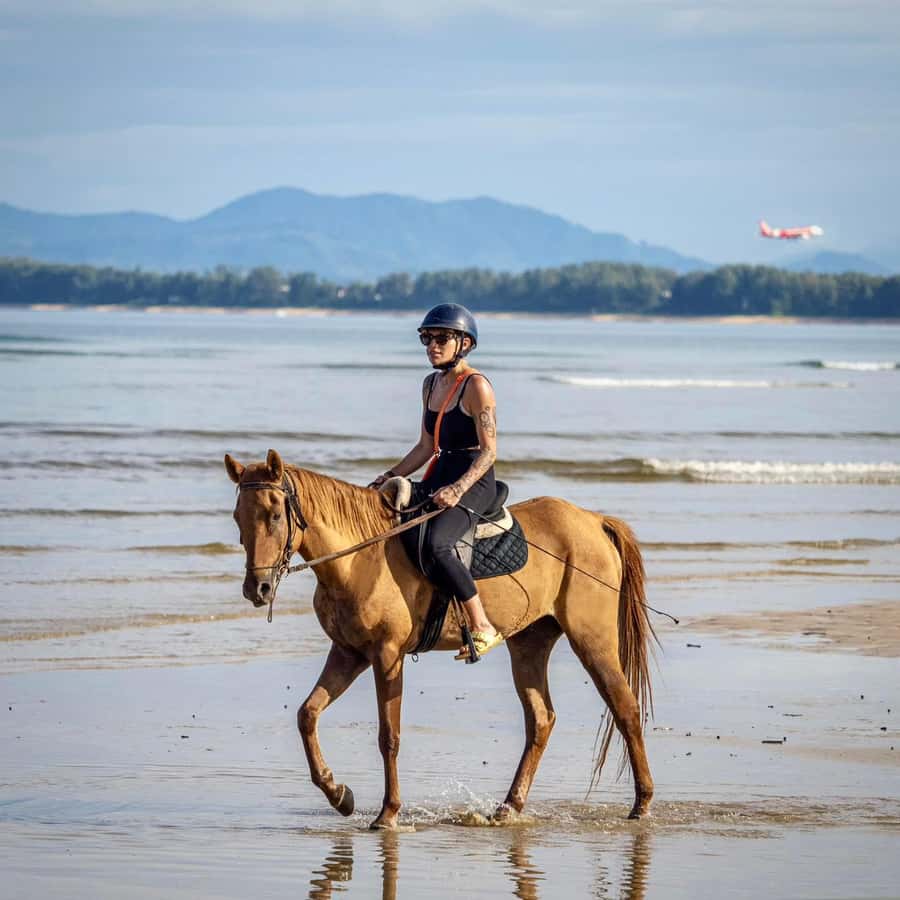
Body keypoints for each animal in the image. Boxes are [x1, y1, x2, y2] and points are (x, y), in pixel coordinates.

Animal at [225, 449, 656, 829]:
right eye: (237, 517)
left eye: (275, 515)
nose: (258, 589)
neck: (361, 559)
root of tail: (595, 521)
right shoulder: (349, 653)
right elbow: (307, 715)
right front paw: (339, 794)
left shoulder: (387, 655)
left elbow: (389, 736)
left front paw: (388, 813)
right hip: (529, 642)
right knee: (540, 720)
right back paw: (508, 807)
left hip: (592, 639)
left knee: (625, 708)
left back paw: (641, 804)